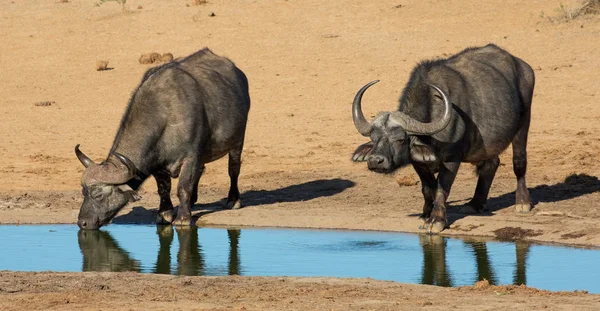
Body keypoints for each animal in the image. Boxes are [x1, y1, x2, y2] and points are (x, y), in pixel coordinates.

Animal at [75, 48, 251, 229]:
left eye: (98, 195)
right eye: (83, 192)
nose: (82, 222)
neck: (165, 115)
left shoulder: (190, 157)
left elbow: (183, 187)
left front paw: (183, 217)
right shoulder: (158, 164)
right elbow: (164, 188)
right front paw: (165, 213)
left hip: (238, 140)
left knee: (233, 169)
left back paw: (233, 199)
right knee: (201, 170)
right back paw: (192, 201)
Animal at [352, 44, 536, 234]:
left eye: (400, 139)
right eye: (374, 138)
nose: (376, 160)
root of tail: (523, 66)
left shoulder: (451, 160)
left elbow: (442, 189)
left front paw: (436, 220)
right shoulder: (419, 164)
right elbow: (428, 189)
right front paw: (425, 215)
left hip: (524, 122)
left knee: (519, 162)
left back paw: (522, 202)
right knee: (491, 163)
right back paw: (474, 204)